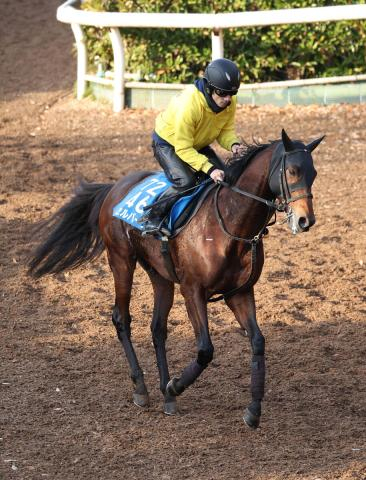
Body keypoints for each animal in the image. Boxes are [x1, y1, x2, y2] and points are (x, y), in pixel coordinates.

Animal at [27, 128, 324, 428]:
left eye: (314, 173)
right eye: (293, 171)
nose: (305, 221)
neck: (229, 225)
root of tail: (114, 187)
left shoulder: (239, 293)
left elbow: (258, 342)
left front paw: (253, 409)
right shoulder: (192, 290)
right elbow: (205, 350)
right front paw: (176, 385)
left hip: (160, 275)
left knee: (157, 328)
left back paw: (165, 394)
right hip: (121, 260)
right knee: (121, 318)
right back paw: (142, 388)